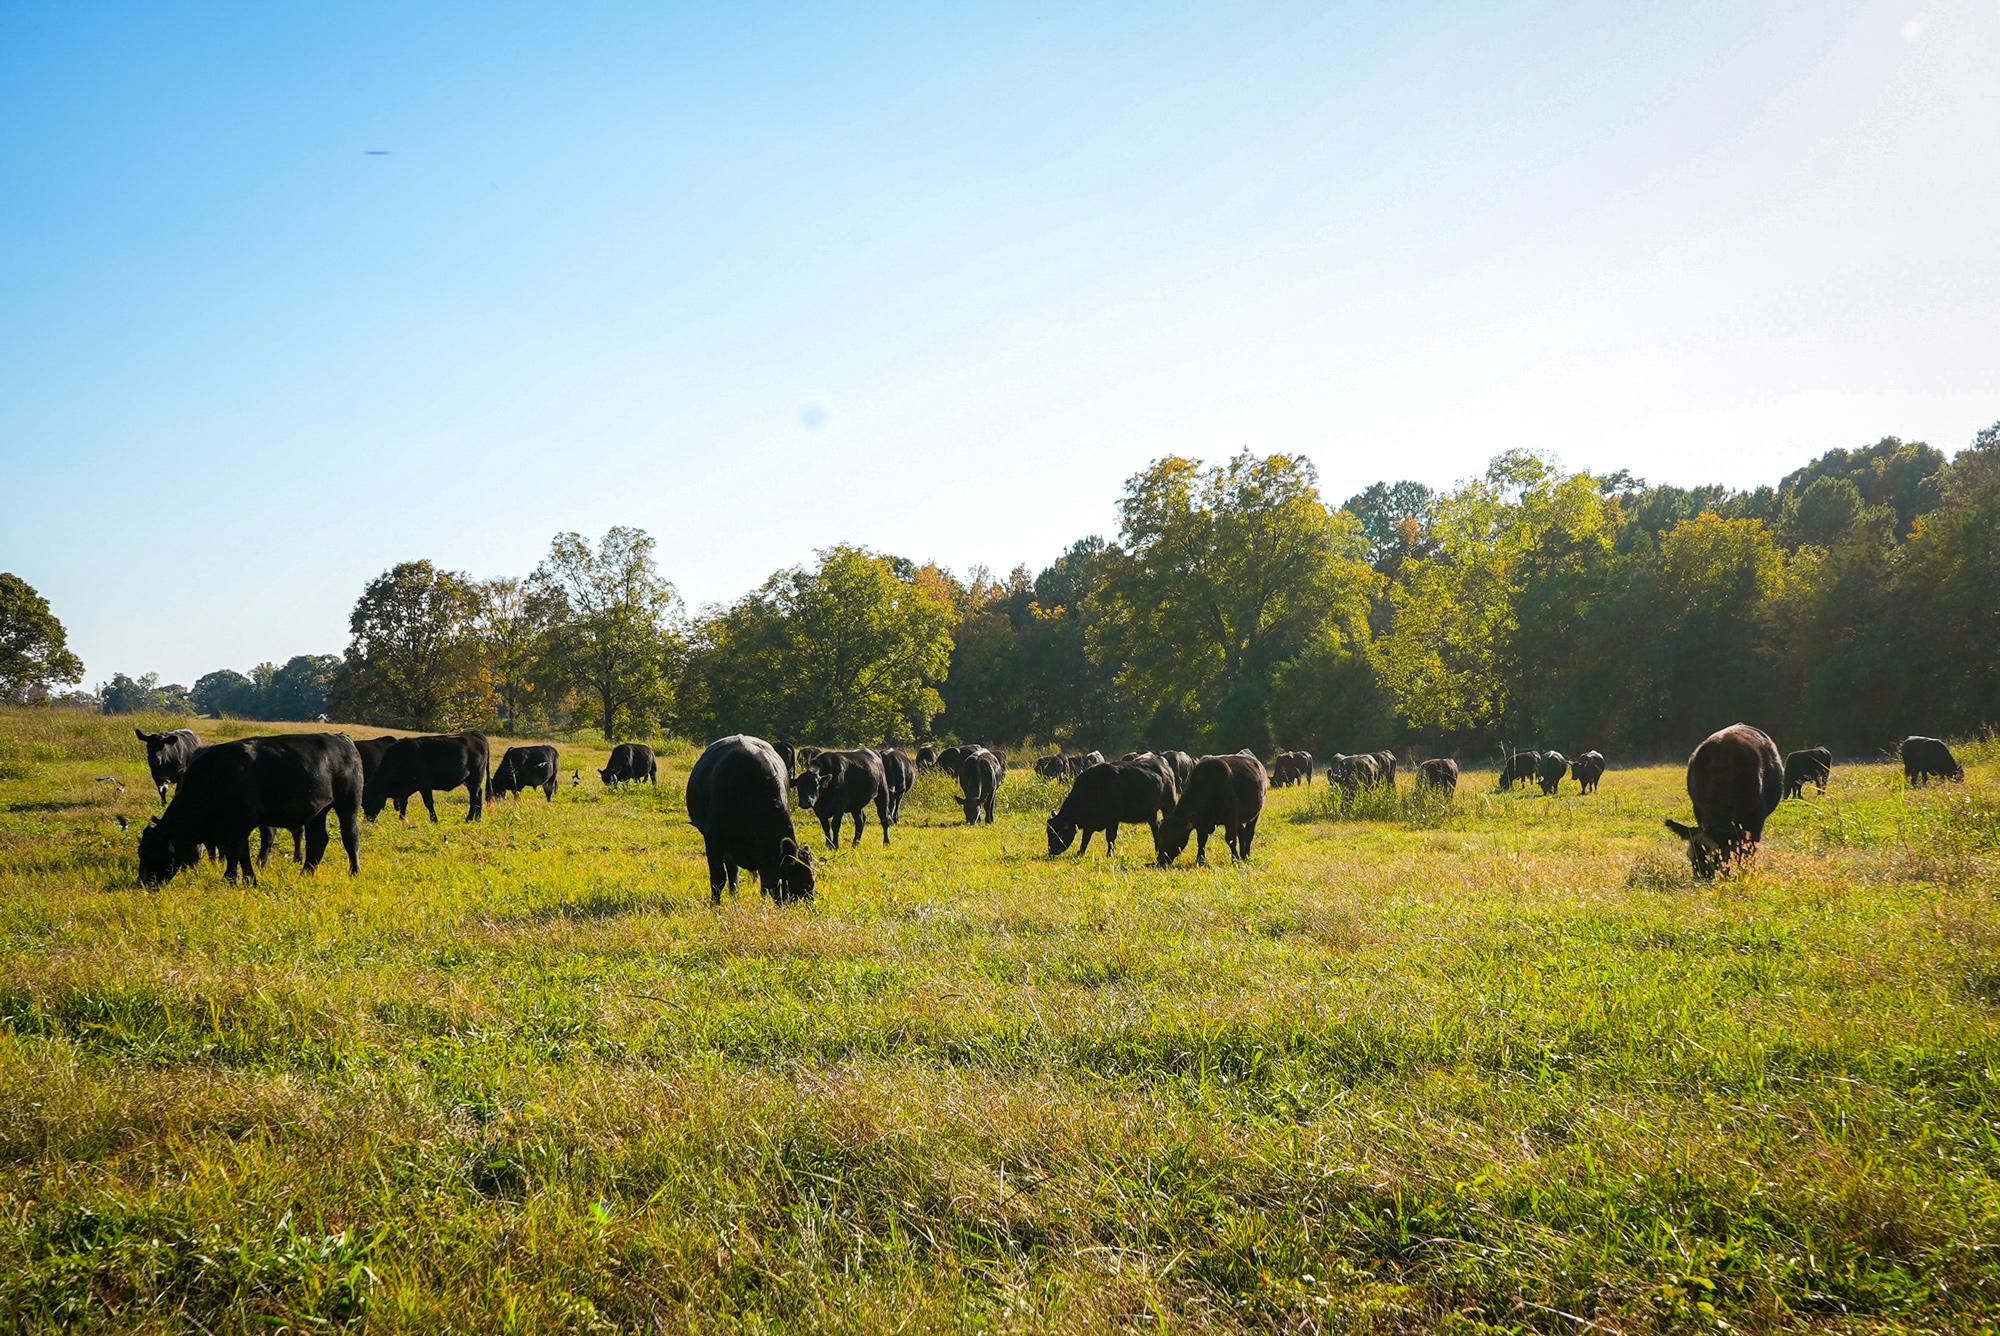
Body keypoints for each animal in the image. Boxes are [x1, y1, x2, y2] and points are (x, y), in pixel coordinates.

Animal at [137, 732, 364, 888]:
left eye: (153, 851)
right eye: (141, 851)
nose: (144, 882)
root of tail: (343, 738)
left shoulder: (240, 825)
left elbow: (238, 852)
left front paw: (236, 878)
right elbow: (238, 854)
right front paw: (240, 878)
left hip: (348, 805)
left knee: (350, 838)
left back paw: (354, 872)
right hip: (318, 812)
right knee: (318, 841)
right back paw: (306, 873)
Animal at [688, 732, 812, 908]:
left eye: (811, 882)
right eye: (800, 882)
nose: (809, 904)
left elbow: (764, 882)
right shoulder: (713, 840)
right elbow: (718, 878)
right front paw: (715, 906)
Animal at [1040, 752, 1176, 856]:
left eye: (1058, 833)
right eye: (1049, 832)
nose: (1052, 851)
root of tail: (1165, 767)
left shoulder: (1113, 820)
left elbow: (1110, 838)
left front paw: (1109, 854)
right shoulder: (1090, 823)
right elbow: (1085, 838)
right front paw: (1080, 852)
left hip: (1169, 805)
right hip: (1151, 813)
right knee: (1155, 827)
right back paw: (1157, 849)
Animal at [1664, 724, 1792, 880]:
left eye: (1715, 856)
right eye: (1689, 855)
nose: (1702, 878)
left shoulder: (1755, 821)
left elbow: (1747, 852)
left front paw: (1745, 874)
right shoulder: (1699, 810)